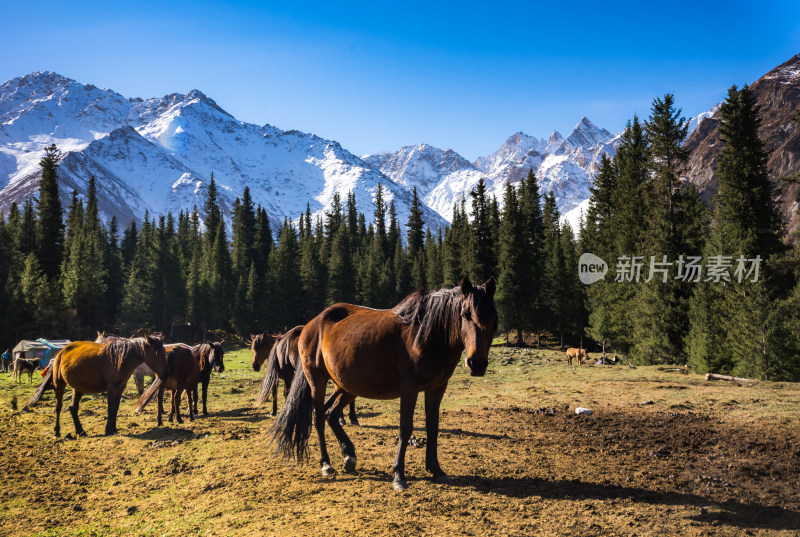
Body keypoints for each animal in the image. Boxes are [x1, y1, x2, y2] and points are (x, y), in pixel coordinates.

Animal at [29, 336, 169, 436]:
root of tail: (61, 353)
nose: (165, 373)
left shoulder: (120, 388)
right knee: (58, 407)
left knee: (73, 408)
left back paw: (80, 431)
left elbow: (115, 408)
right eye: (156, 353)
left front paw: (113, 428)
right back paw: (57, 432)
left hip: (78, 388)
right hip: (60, 385)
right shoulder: (111, 388)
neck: (120, 359)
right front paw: (108, 429)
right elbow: (111, 408)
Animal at [270, 276, 494, 490]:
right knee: (318, 417)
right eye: (465, 314)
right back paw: (326, 464)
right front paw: (398, 475)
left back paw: (349, 455)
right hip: (317, 380)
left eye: (492, 316)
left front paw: (436, 470)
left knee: (330, 414)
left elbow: (433, 427)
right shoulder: (410, 388)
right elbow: (405, 428)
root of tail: (310, 325)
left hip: (347, 386)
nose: (476, 364)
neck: (427, 335)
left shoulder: (437, 388)